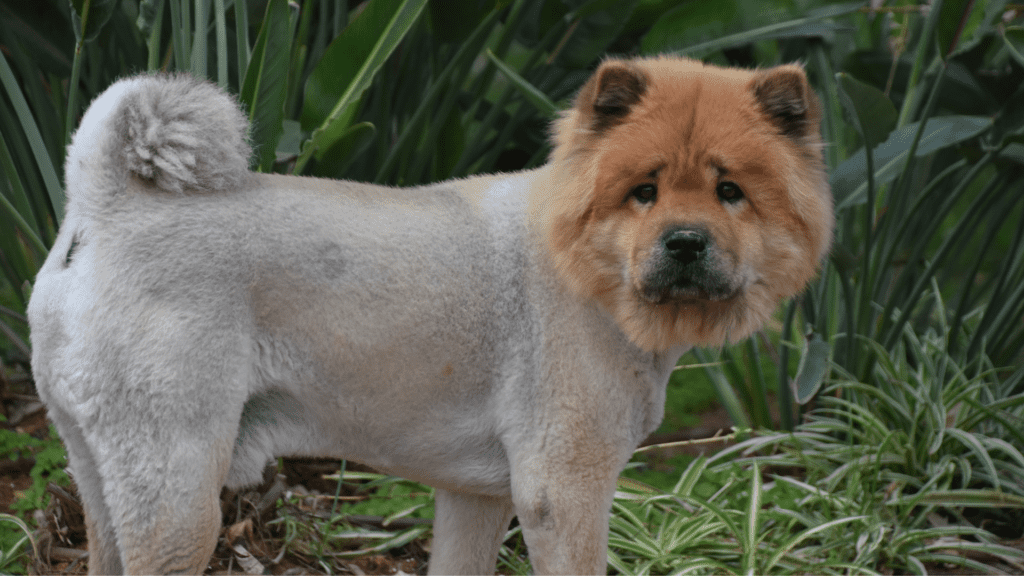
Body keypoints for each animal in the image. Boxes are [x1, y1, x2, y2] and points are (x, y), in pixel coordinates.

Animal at [29, 56, 831, 569]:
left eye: (730, 191)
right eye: (645, 191)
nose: (686, 242)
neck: (582, 263)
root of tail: (108, 201)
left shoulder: (478, 496)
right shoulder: (564, 493)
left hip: (104, 478)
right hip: (179, 497)